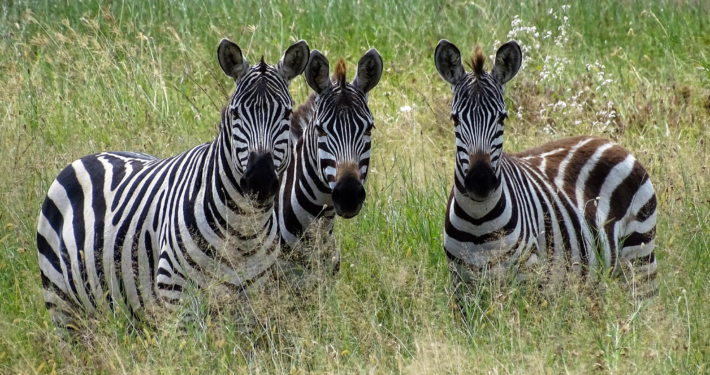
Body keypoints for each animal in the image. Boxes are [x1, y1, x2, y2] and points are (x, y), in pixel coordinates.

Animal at [35, 39, 308, 330]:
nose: (260, 180)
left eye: (287, 113)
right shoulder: (177, 297)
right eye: (235, 113)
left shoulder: (252, 301)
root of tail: (91, 155)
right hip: (62, 305)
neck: (243, 232)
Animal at [434, 40, 660, 306]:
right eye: (455, 119)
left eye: (502, 117)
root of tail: (609, 141)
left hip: (641, 257)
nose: (480, 182)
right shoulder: (462, 290)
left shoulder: (526, 283)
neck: (478, 222)